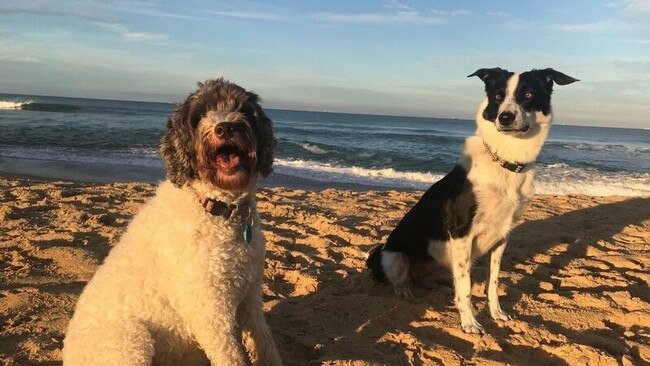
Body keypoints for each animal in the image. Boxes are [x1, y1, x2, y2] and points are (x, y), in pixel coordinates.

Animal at [62, 78, 280, 364]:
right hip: (132, 341)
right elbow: (230, 356)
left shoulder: (250, 296)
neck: (219, 210)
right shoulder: (211, 312)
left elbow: (265, 341)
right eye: (199, 116)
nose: (225, 127)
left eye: (242, 109)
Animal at [368, 67, 576, 334]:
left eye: (528, 94)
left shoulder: (502, 235)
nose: (505, 117)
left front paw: (496, 312)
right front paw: (469, 322)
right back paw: (404, 289)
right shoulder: (461, 233)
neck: (505, 162)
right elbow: (466, 287)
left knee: (429, 280)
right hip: (393, 255)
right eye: (497, 96)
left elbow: (492, 281)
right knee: (401, 279)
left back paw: (441, 287)